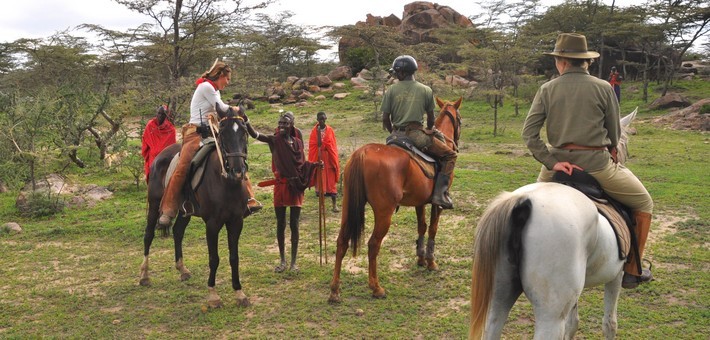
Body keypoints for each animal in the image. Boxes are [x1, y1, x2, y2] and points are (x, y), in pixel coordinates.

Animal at [139, 105, 253, 306]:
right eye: (223, 134)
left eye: (244, 132)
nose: (238, 171)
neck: (226, 182)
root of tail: (159, 156)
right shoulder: (212, 224)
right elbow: (214, 258)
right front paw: (213, 296)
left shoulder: (236, 221)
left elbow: (234, 257)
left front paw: (239, 293)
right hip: (154, 204)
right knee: (148, 235)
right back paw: (144, 275)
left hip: (185, 211)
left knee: (177, 231)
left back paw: (182, 269)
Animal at [330, 96, 464, 302]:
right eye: (460, 120)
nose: (456, 142)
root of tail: (362, 153)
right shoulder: (437, 204)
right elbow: (432, 229)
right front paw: (431, 262)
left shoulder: (420, 202)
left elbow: (421, 227)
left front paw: (420, 258)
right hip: (384, 213)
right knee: (373, 245)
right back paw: (376, 287)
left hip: (348, 207)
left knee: (342, 241)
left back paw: (335, 290)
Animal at [472, 109, 640, 340]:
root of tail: (523, 202)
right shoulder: (616, 275)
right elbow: (610, 323)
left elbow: (573, 323)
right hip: (551, 314)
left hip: (499, 296)